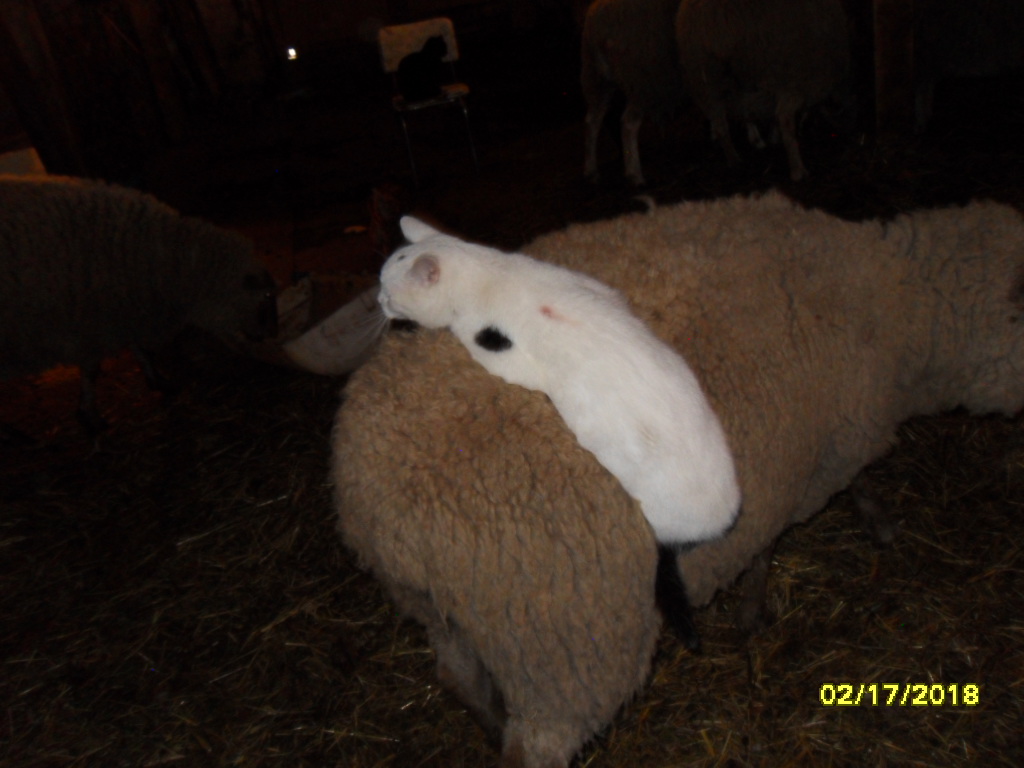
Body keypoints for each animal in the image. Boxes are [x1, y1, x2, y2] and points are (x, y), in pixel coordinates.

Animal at [0, 174, 278, 435]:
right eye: (266, 295)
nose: (271, 334)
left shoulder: (124, 311)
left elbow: (138, 347)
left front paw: (157, 380)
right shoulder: (92, 322)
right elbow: (92, 368)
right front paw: (89, 415)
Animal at [332, 190, 1024, 767]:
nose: (381, 307)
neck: (899, 301)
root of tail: (380, 514)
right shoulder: (809, 461)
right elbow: (775, 541)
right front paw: (764, 601)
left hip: (451, 617)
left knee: (460, 680)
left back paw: (487, 723)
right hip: (561, 652)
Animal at [580, 0, 687, 186]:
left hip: (598, 78)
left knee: (591, 121)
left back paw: (591, 171)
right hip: (643, 76)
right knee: (628, 123)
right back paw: (635, 176)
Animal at [675, 0, 851, 181]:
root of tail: (720, 23)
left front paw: (764, 138)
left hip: (704, 74)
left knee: (721, 123)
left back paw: (734, 159)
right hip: (783, 72)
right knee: (784, 117)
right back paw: (798, 170)